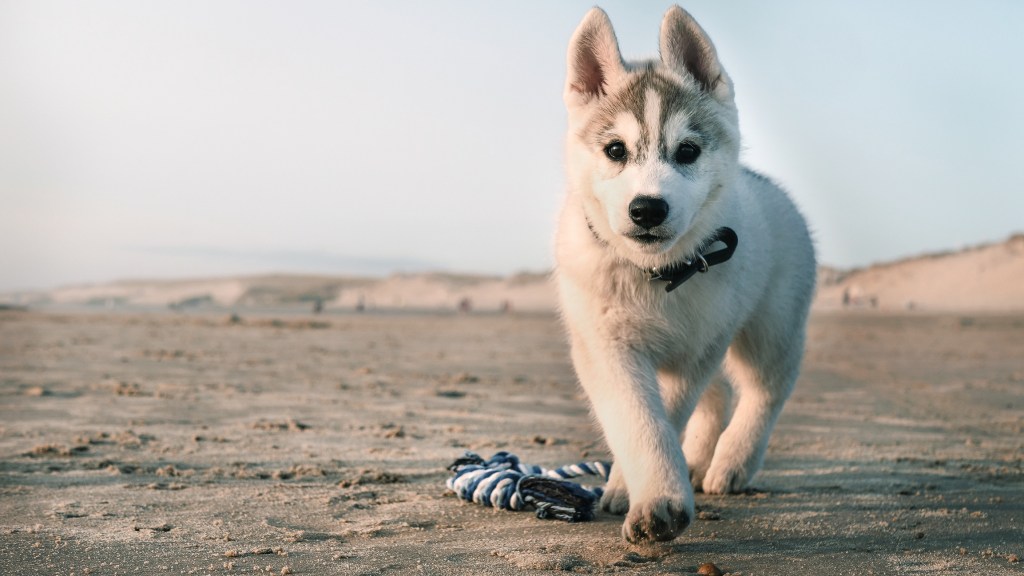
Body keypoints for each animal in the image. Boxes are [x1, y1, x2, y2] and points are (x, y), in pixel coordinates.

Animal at [557, 5, 811, 541]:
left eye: (688, 151)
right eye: (615, 150)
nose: (647, 209)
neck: (655, 275)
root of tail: (768, 186)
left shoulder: (693, 354)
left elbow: (666, 419)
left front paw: (652, 495)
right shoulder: (606, 348)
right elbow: (639, 420)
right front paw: (650, 491)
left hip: (768, 328)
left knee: (765, 389)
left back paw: (733, 461)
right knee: (716, 396)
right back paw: (694, 460)